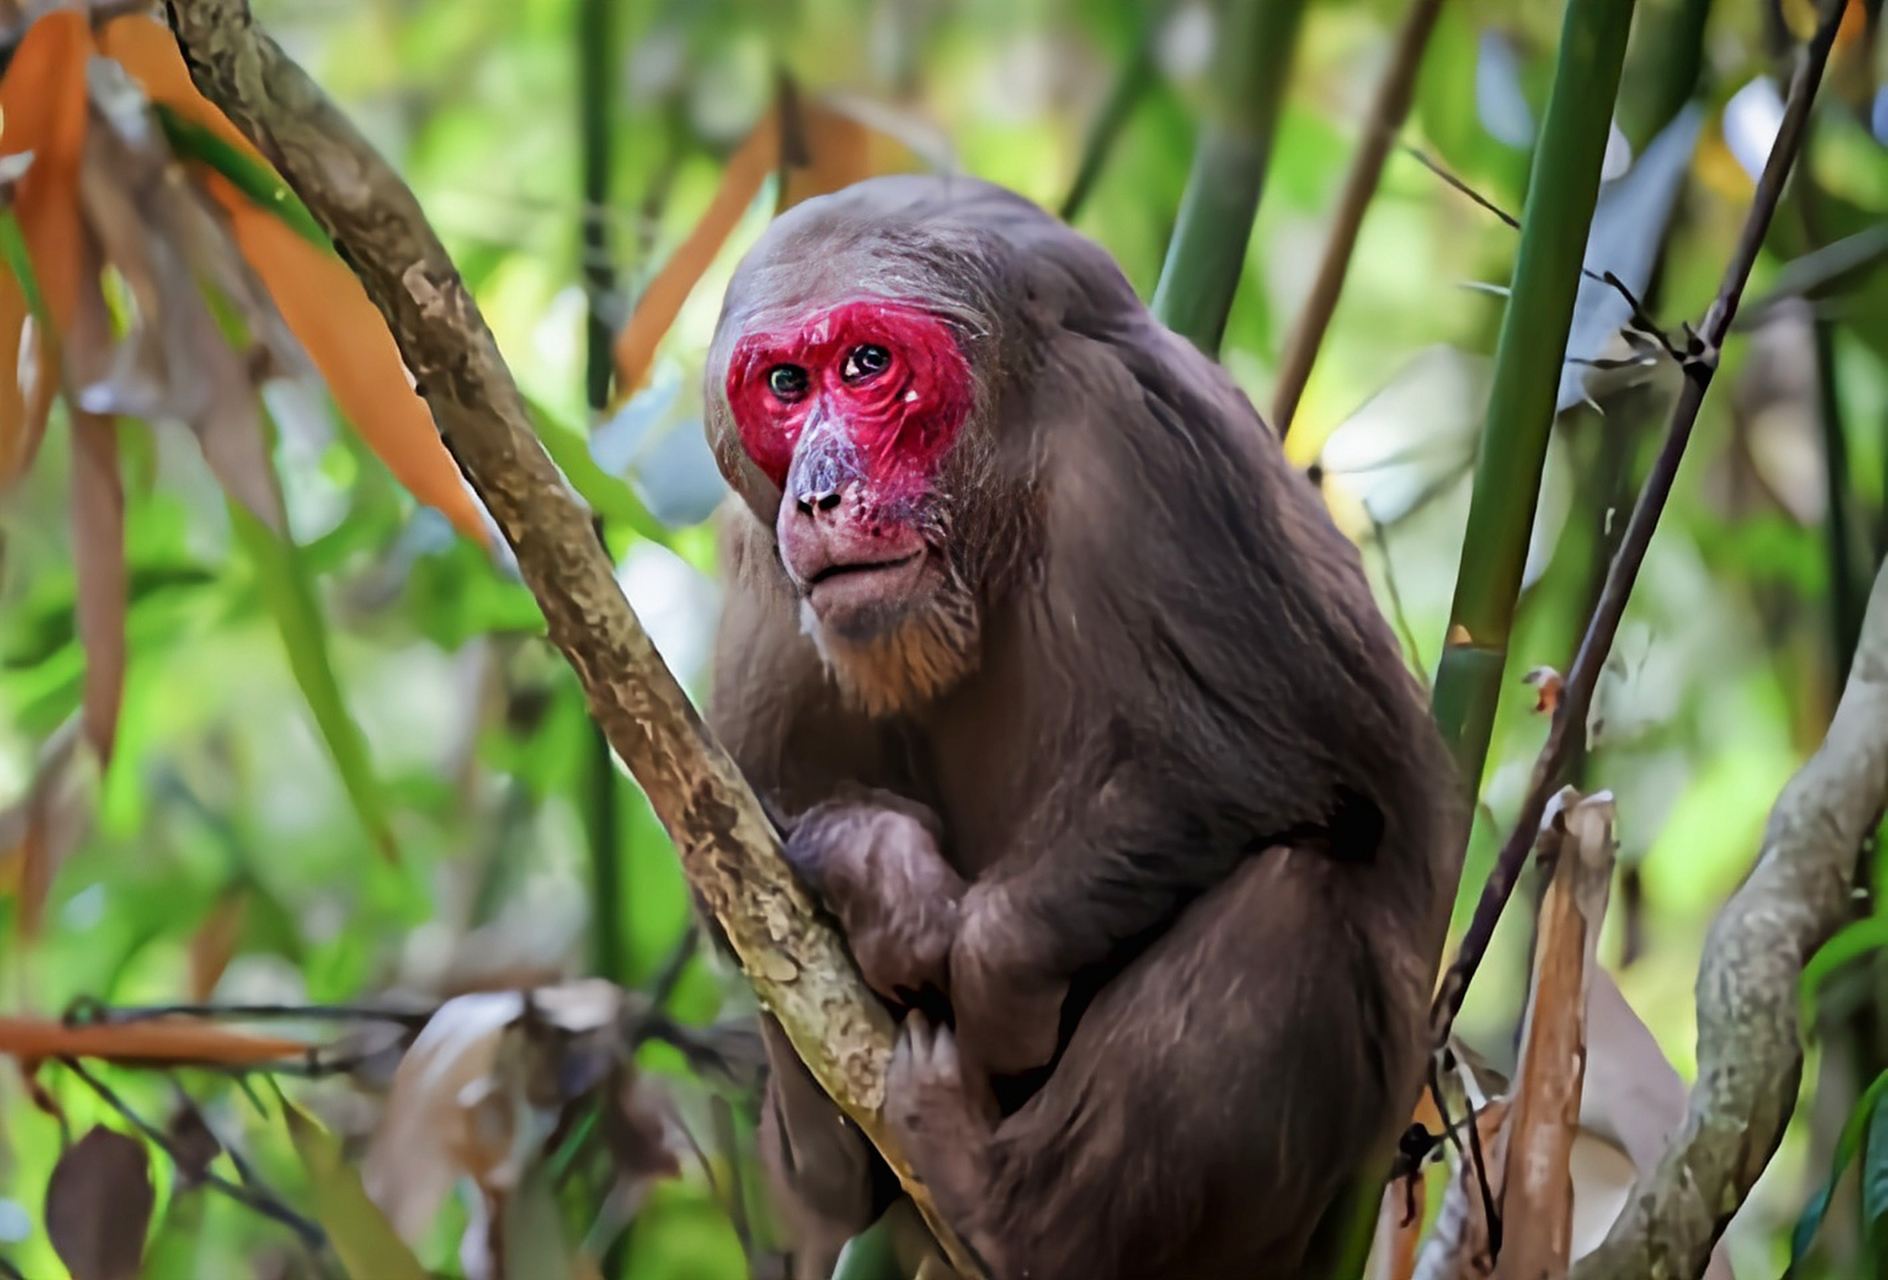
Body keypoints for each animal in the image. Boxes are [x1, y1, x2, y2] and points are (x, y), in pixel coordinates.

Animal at [702, 172, 1465, 1280]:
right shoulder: (757, 550)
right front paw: (883, 873)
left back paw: (1007, 1215)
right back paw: (830, 1163)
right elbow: (734, 845)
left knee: (1294, 900)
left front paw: (988, 964)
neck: (998, 504)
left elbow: (1279, 751)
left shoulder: (1134, 444)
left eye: (867, 365)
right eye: (787, 385)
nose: (819, 491)